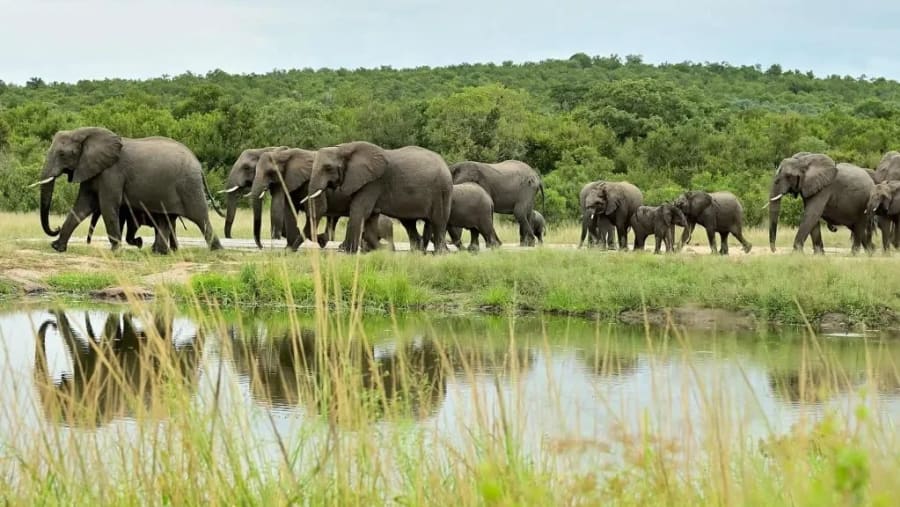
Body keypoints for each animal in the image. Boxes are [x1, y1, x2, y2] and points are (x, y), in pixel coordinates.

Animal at [33, 127, 222, 254]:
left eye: (62, 154)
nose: (55, 227)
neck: (85, 132)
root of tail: (199, 166)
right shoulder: (91, 168)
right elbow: (82, 206)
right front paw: (57, 247)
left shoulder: (112, 172)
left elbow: (108, 205)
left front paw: (116, 251)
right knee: (166, 218)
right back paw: (160, 252)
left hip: (188, 185)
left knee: (200, 217)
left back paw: (216, 250)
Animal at [306, 141, 452, 254]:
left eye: (328, 168)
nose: (321, 240)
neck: (344, 148)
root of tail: (445, 164)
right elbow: (370, 216)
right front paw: (382, 250)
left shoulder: (372, 183)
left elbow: (360, 211)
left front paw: (348, 251)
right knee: (411, 224)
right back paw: (418, 251)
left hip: (442, 191)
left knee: (438, 221)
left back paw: (439, 253)